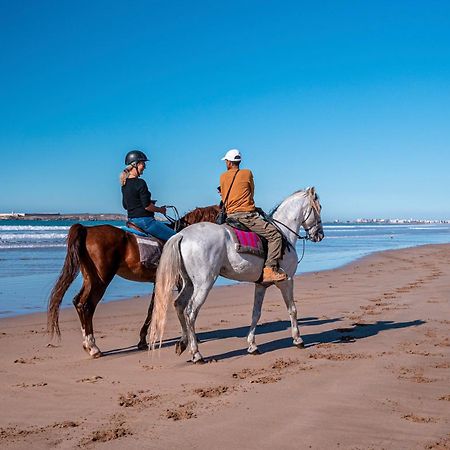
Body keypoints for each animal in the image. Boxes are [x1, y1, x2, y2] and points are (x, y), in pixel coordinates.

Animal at [47, 206, 220, 356]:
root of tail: (87, 229)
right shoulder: (179, 281)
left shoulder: (158, 282)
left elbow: (151, 309)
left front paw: (142, 340)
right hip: (101, 280)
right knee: (87, 305)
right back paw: (93, 347)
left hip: (90, 278)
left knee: (78, 302)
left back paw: (87, 344)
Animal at [151, 186, 324, 362]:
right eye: (319, 208)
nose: (320, 235)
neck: (283, 233)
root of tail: (182, 235)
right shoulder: (286, 281)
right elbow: (292, 309)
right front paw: (298, 339)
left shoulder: (261, 285)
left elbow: (256, 313)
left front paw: (252, 345)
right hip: (204, 283)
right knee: (190, 312)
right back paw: (196, 353)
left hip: (189, 283)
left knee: (179, 305)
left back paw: (183, 343)